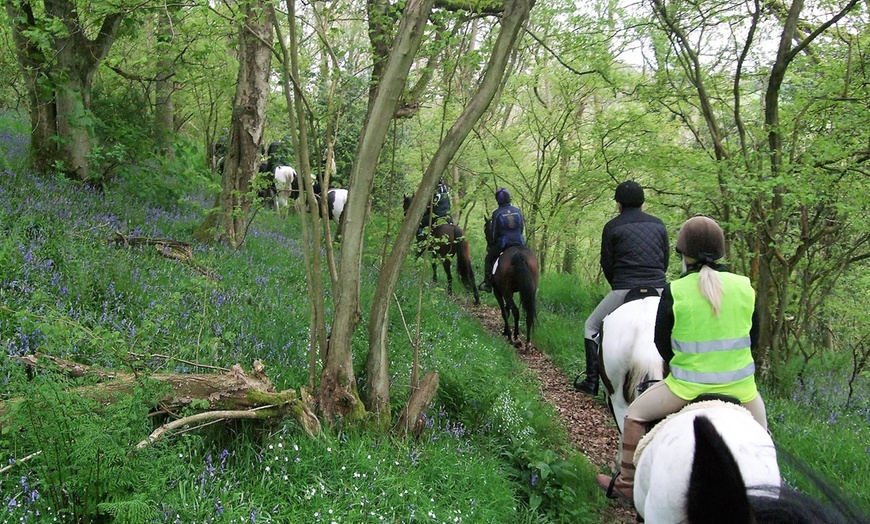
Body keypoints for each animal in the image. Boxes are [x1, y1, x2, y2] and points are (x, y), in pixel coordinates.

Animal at [484, 217, 540, 348]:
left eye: (486, 229)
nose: (488, 248)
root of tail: (518, 254)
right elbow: (507, 309)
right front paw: (505, 331)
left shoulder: (498, 291)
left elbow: (505, 311)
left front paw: (507, 333)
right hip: (530, 290)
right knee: (528, 313)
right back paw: (527, 342)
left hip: (506, 291)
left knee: (515, 311)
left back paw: (514, 337)